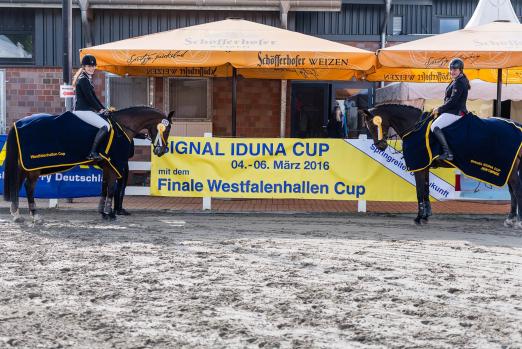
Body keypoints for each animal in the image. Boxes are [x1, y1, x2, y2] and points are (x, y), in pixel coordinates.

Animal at [3, 104, 173, 222]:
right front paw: (110, 214)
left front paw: (103, 213)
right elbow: (111, 189)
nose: (161, 150)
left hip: (25, 165)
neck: (121, 126)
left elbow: (104, 188)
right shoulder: (114, 165)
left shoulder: (107, 166)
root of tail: (19, 123)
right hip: (34, 167)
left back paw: (17, 215)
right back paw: (35, 216)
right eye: (166, 129)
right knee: (28, 187)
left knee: (17, 183)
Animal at [358, 103, 520, 226]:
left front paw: (419, 217)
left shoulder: (419, 166)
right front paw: (426, 216)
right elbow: (425, 190)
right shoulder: (425, 166)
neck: (415, 127)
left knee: (516, 190)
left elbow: (419, 191)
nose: (380, 146)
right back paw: (510, 219)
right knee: (512, 192)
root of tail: (517, 125)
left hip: (510, 170)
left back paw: (517, 221)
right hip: (509, 170)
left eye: (373, 124)